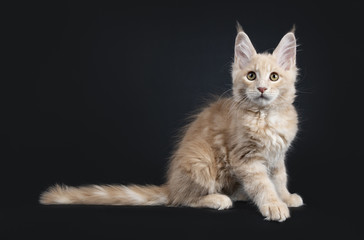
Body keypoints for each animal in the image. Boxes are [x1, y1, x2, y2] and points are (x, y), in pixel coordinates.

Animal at [39, 23, 302, 221]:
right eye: (251, 76)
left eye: (274, 77)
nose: (262, 88)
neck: (267, 117)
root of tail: (171, 185)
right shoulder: (245, 158)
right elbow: (263, 185)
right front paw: (273, 205)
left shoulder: (277, 157)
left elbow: (279, 179)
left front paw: (286, 197)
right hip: (200, 159)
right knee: (181, 200)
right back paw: (217, 198)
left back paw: (239, 194)